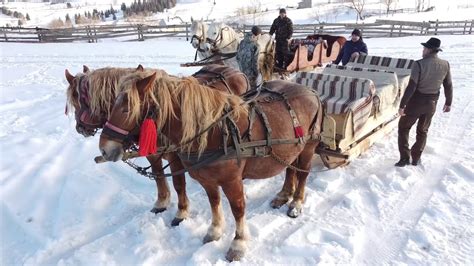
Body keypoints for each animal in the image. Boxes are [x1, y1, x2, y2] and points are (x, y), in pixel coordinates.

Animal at [65, 65, 250, 227]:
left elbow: (178, 184)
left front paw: (181, 212)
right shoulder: (152, 155)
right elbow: (158, 177)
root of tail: (235, 71)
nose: (80, 128)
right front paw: (161, 202)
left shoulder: (176, 157)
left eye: (79, 99)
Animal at [98, 69, 324, 260]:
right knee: (290, 169)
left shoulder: (232, 181)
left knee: (303, 174)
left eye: (127, 108)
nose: (104, 149)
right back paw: (283, 195)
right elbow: (214, 202)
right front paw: (214, 231)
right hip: (291, 148)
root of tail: (310, 91)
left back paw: (296, 203)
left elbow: (238, 209)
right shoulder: (207, 179)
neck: (215, 132)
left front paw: (238, 244)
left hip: (308, 148)